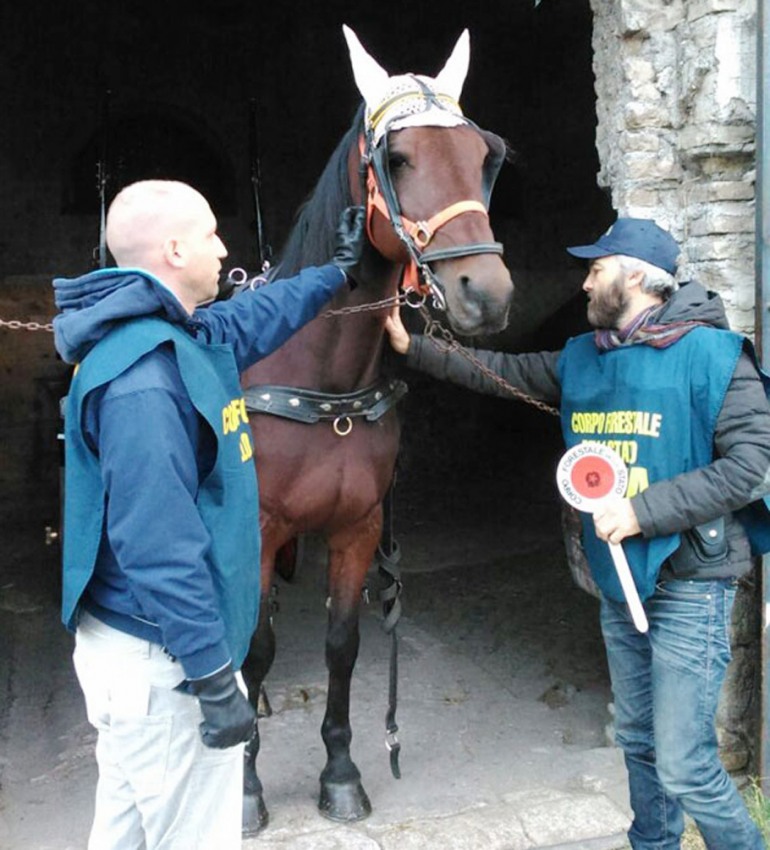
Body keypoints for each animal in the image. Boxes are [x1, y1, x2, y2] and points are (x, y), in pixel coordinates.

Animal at [237, 28, 512, 836]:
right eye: (399, 159)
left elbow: (342, 644)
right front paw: (245, 787)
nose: (486, 295)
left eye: (485, 156)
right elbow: (257, 646)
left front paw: (340, 772)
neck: (323, 386)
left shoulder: (357, 527)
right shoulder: (257, 529)